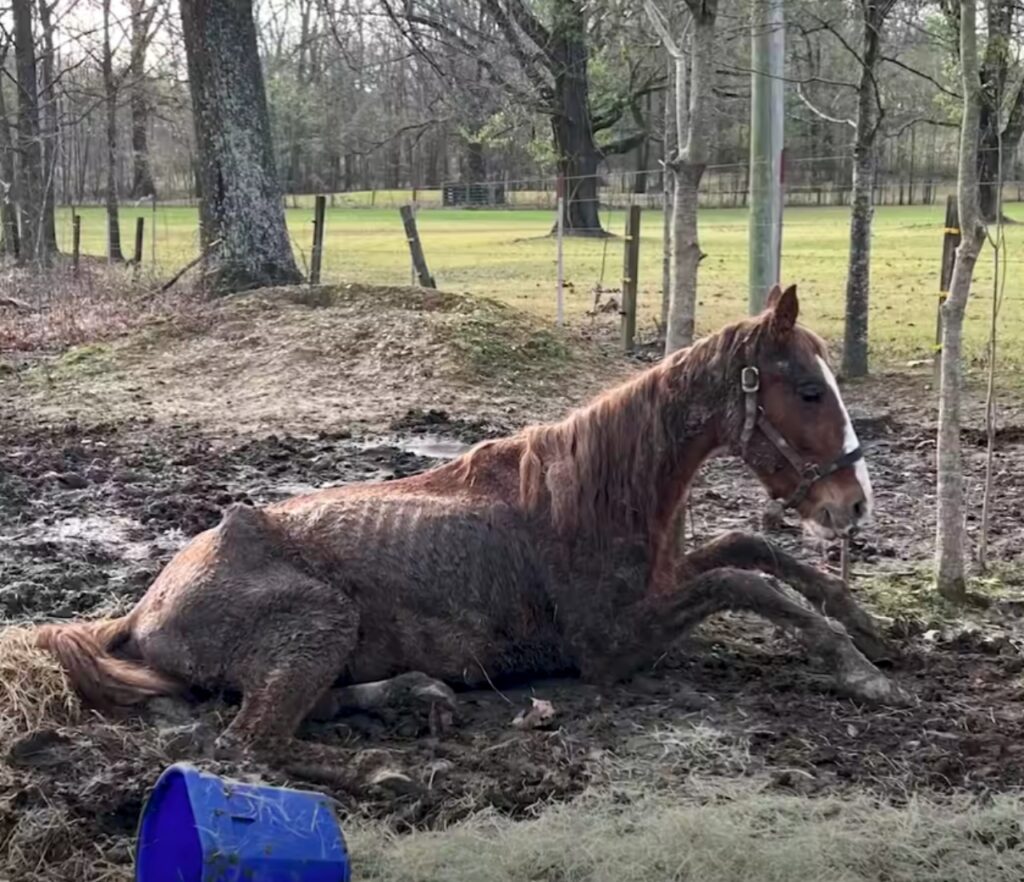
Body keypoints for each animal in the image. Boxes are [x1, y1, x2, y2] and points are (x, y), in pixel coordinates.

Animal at [36, 284, 909, 749]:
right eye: (808, 391)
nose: (851, 503)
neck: (593, 493)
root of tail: (145, 605)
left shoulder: (666, 580)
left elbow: (757, 552)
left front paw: (872, 630)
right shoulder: (614, 648)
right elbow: (748, 583)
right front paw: (860, 672)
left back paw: (415, 692)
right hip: (319, 624)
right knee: (254, 741)